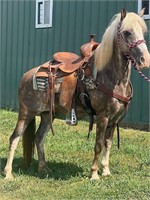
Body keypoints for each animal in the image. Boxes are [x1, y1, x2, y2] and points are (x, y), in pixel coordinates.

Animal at [4, 8, 149, 180]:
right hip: (26, 113)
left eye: (143, 31)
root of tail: (26, 75)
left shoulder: (115, 119)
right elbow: (98, 144)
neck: (109, 77)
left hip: (47, 114)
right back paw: (8, 173)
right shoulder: (103, 116)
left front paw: (106, 170)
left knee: (39, 137)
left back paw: (43, 168)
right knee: (15, 137)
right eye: (127, 32)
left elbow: (108, 143)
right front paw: (94, 174)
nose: (145, 59)